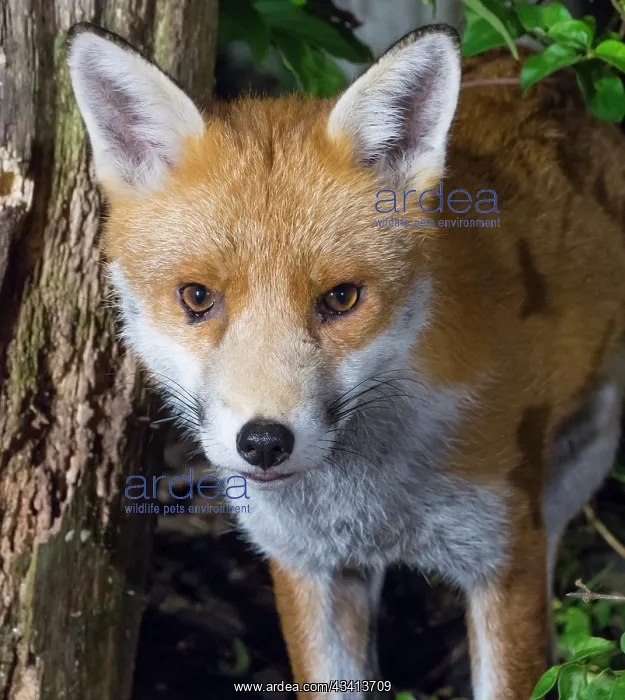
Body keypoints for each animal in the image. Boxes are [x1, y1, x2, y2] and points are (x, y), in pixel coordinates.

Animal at [66, 20, 625, 700]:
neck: (370, 502)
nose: (264, 442)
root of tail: (542, 62)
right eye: (197, 297)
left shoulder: (501, 556)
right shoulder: (309, 567)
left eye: (341, 299)